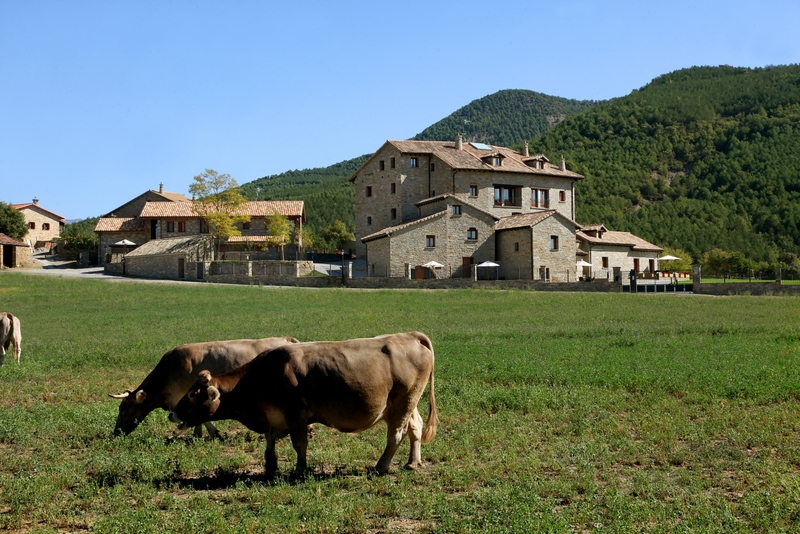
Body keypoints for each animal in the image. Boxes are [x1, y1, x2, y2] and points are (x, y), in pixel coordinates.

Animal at [168, 332, 438, 480]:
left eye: (192, 394)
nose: (172, 413)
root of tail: (409, 336)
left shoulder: (295, 414)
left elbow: (299, 444)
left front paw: (299, 470)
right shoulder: (272, 416)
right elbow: (269, 442)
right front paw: (270, 466)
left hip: (403, 402)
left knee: (396, 435)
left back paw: (381, 466)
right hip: (407, 403)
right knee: (415, 427)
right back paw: (413, 462)